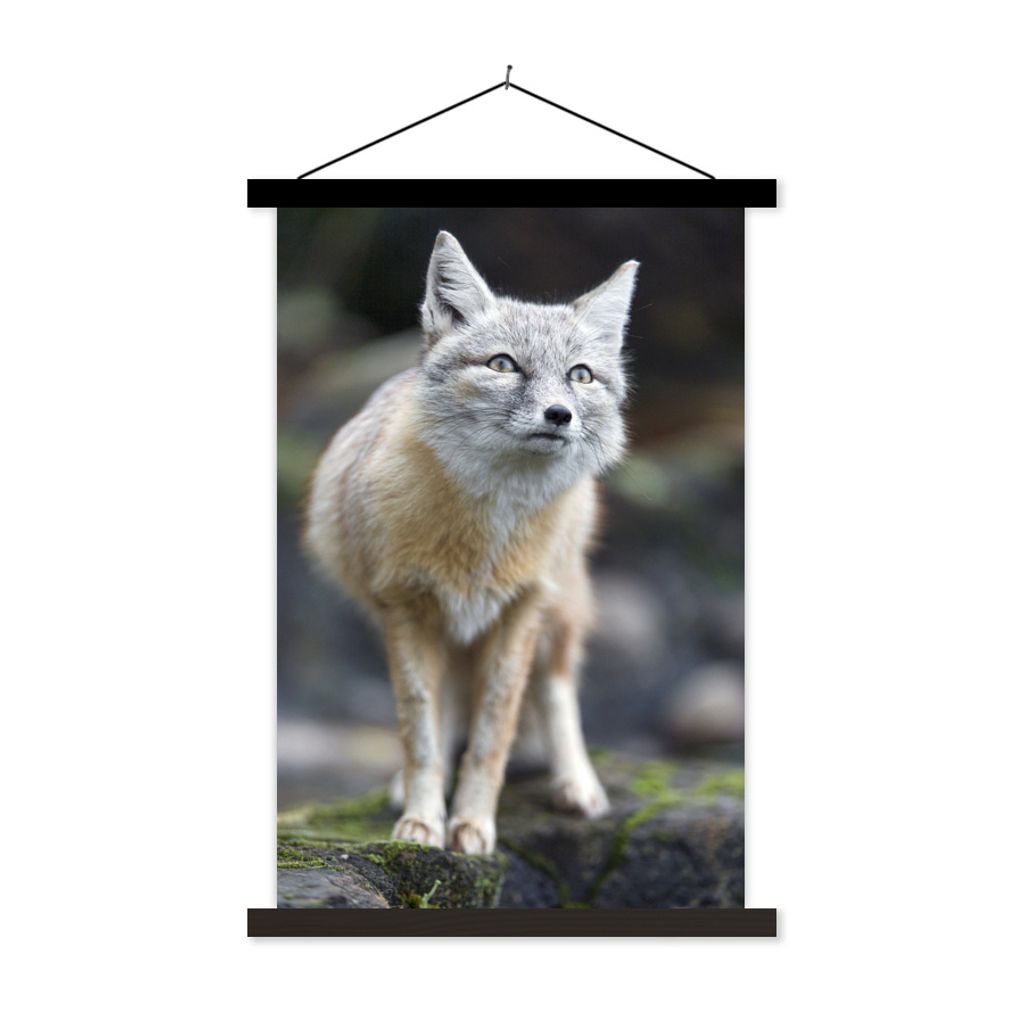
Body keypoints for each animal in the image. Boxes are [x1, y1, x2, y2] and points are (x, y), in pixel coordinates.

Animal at [304, 231, 638, 855]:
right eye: (503, 365)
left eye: (580, 375)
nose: (560, 414)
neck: (484, 539)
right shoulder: (405, 609)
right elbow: (420, 730)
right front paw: (423, 820)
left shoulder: (520, 612)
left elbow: (494, 733)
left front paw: (474, 824)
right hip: (444, 632)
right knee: (449, 706)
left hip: (557, 612)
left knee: (555, 689)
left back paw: (576, 784)